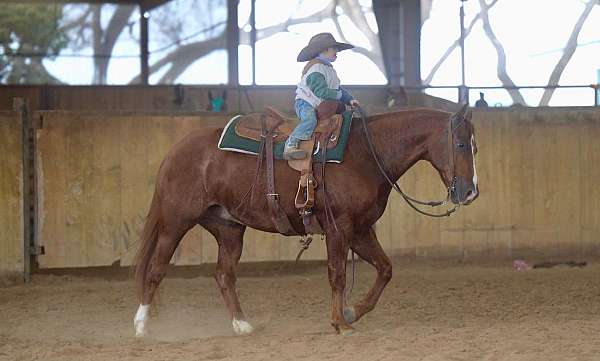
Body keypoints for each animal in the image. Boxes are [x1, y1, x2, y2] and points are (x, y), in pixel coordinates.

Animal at [134, 105, 480, 336]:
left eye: (475, 147)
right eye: (461, 144)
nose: (470, 192)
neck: (367, 154)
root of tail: (176, 151)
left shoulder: (360, 230)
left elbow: (385, 269)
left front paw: (352, 312)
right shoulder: (340, 228)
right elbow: (337, 275)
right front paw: (339, 322)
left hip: (228, 227)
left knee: (224, 275)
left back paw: (242, 325)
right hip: (176, 222)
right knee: (155, 270)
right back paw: (141, 326)